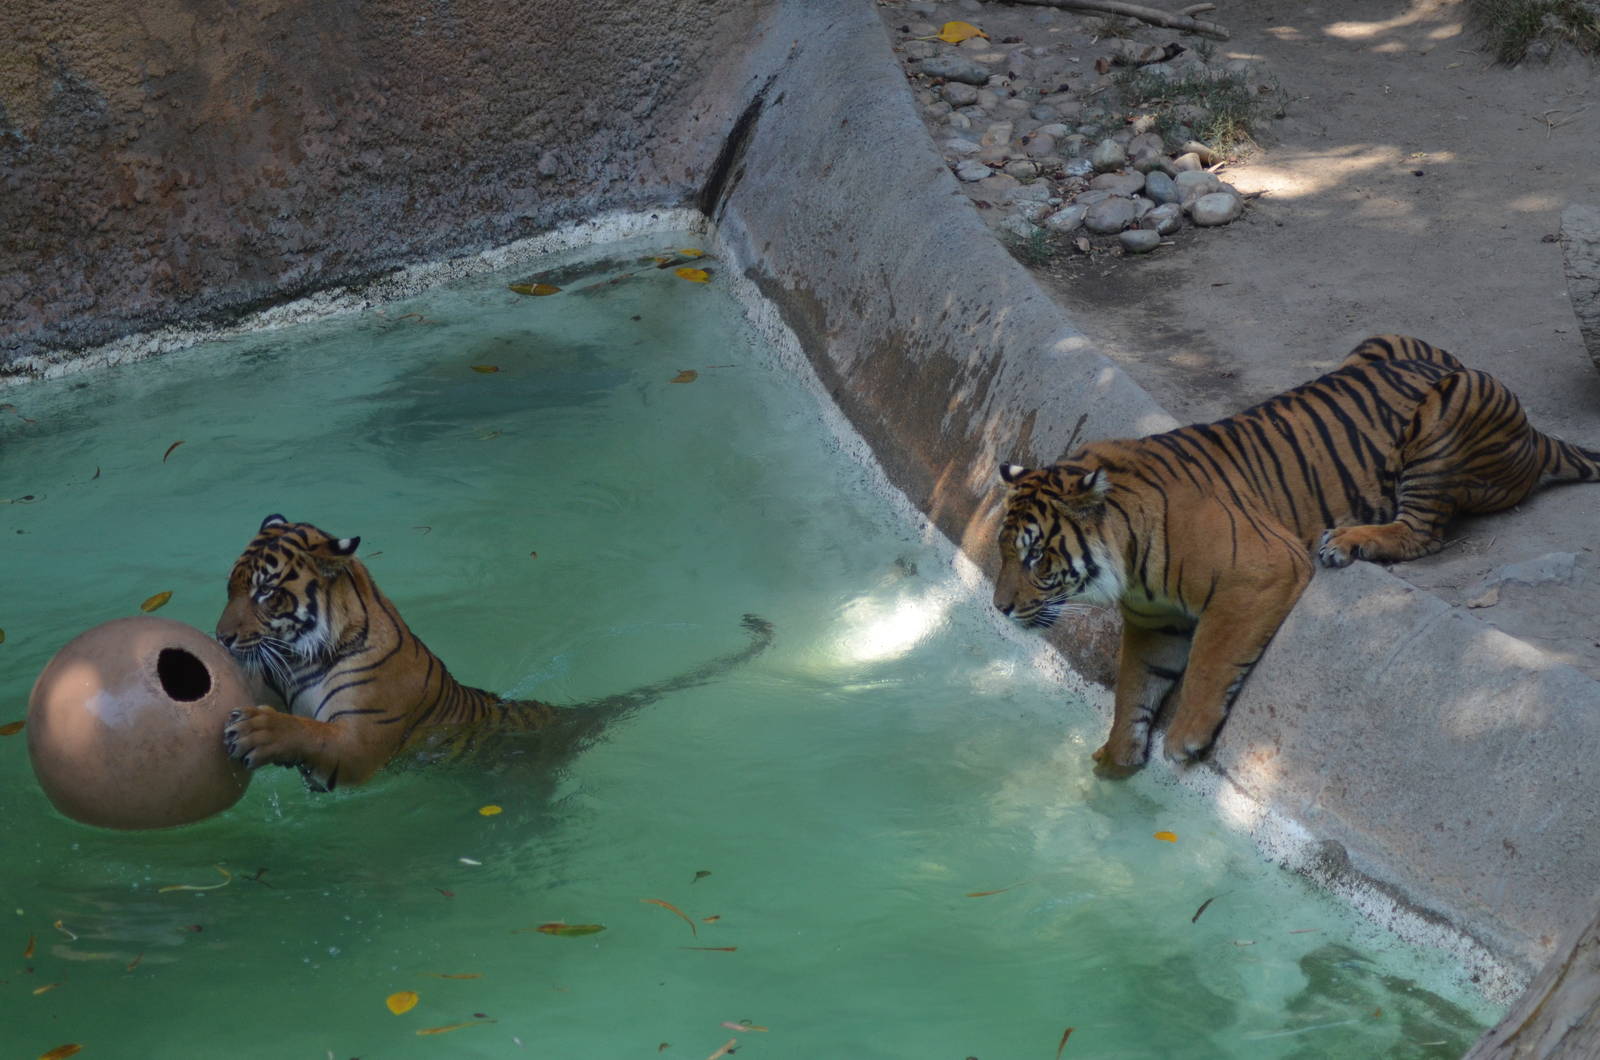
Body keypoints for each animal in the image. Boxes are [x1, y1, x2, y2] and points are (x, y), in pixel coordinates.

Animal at [217, 515, 773, 791]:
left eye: (266, 594)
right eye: (232, 588)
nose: (220, 637)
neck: (303, 658)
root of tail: (563, 717)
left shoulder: (361, 745)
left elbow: (311, 732)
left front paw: (257, 731)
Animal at [994, 335, 1600, 775]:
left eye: (1035, 557)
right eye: (1004, 552)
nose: (999, 607)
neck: (1128, 558)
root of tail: (1536, 434)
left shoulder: (1258, 570)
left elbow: (1210, 658)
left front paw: (1185, 738)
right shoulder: (1154, 620)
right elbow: (1134, 685)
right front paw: (1115, 757)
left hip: (1453, 404)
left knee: (1422, 530)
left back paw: (1348, 540)